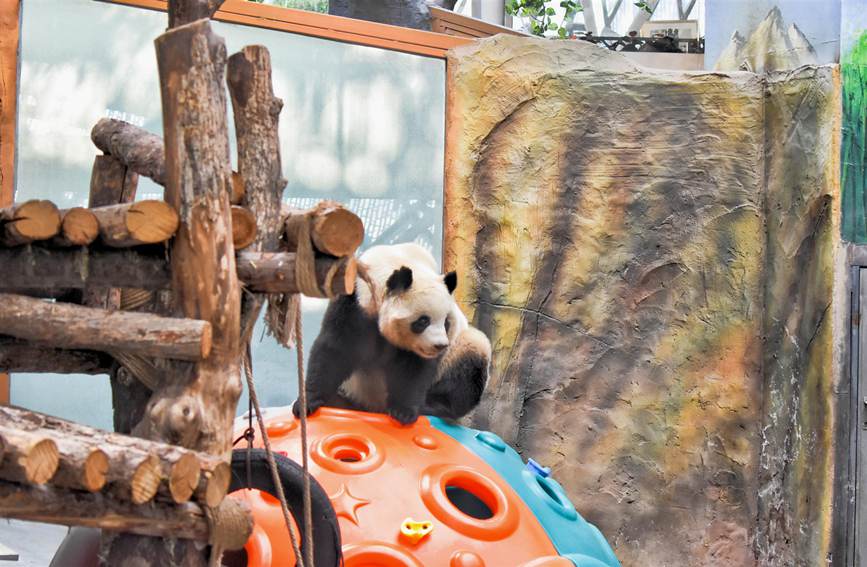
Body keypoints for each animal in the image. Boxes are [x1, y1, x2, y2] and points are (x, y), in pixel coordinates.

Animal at [292, 242, 492, 424]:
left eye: (446, 322)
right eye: (423, 321)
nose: (440, 345)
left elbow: (414, 367)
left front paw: (403, 411)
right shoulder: (353, 302)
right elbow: (335, 349)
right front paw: (307, 403)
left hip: (456, 353)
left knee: (469, 361)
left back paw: (433, 407)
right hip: (352, 393)